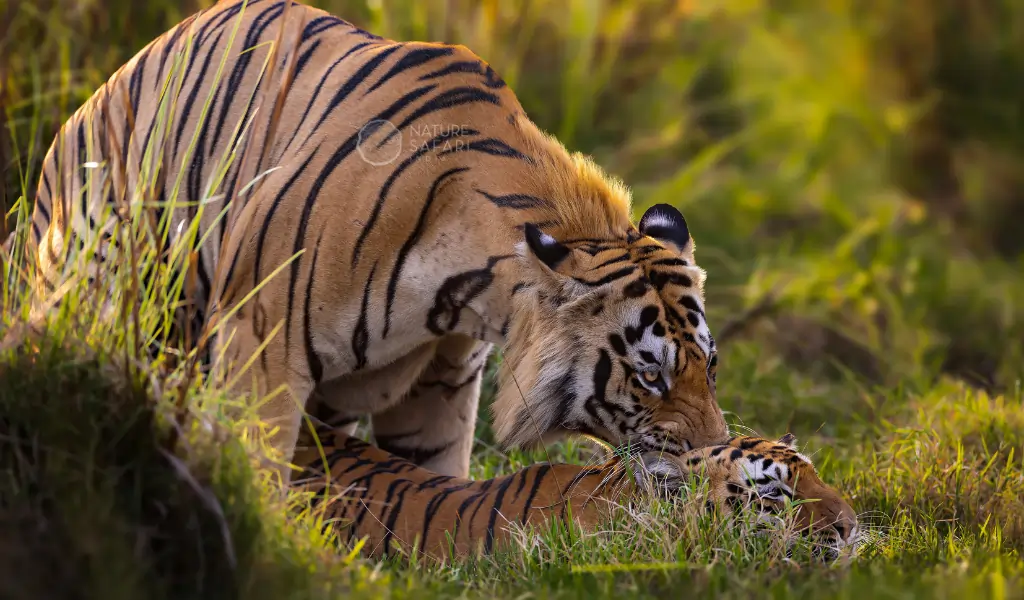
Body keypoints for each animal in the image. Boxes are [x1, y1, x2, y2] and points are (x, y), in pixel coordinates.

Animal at [14, 0, 728, 484]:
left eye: (711, 367)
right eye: (650, 375)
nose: (709, 454)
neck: (467, 297)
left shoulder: (440, 386)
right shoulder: (261, 345)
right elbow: (255, 469)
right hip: (99, 273)